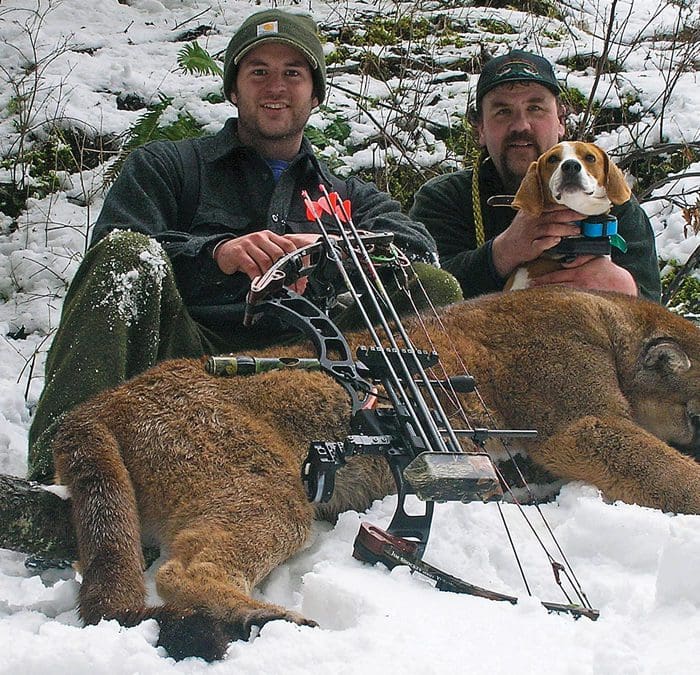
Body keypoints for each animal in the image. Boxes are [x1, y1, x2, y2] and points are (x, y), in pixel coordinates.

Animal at [52, 285, 700, 660]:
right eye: (698, 411)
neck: (611, 326)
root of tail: (98, 405)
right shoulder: (583, 421)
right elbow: (669, 470)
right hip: (264, 489)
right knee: (185, 569)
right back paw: (266, 619)